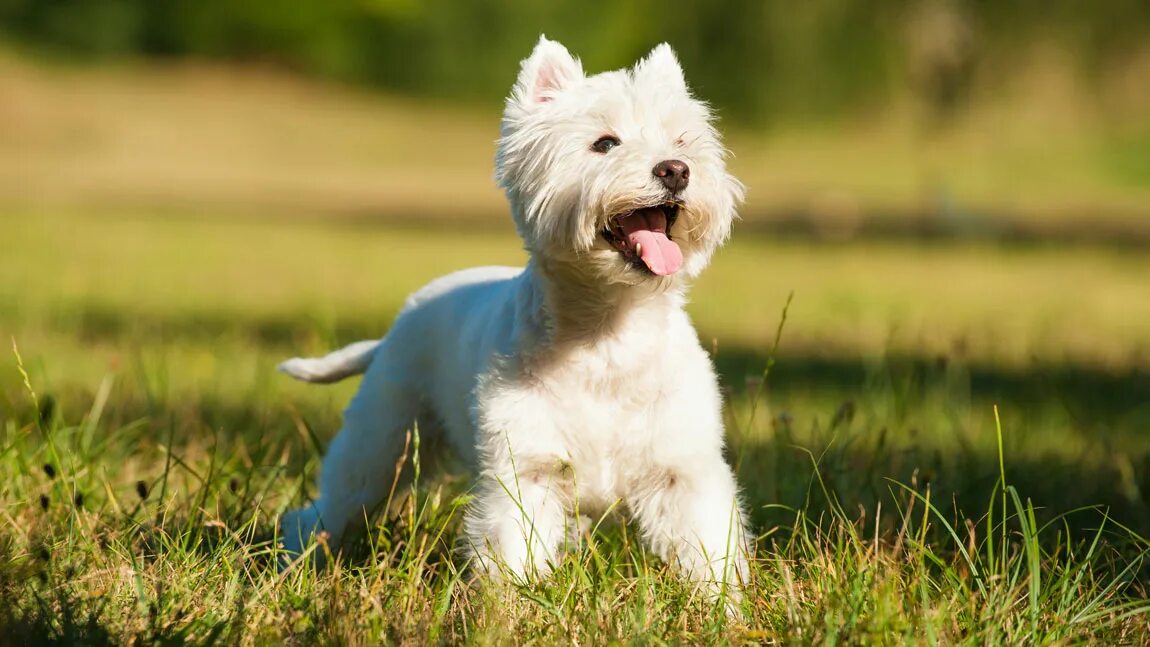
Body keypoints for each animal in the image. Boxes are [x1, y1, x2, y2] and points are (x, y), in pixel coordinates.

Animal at [278, 34, 745, 592]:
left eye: (682, 141)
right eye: (604, 143)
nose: (675, 170)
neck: (609, 334)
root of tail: (395, 328)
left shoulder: (682, 471)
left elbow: (709, 550)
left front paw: (721, 604)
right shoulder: (526, 471)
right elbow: (513, 553)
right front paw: (512, 604)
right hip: (383, 442)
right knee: (329, 508)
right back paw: (297, 560)